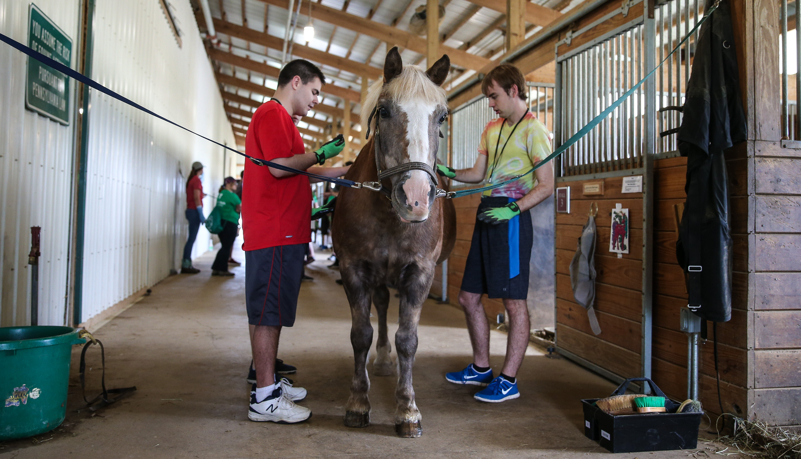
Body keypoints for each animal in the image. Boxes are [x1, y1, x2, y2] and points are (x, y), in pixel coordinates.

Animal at [332, 47, 456, 438]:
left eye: (441, 116)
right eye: (384, 110)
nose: (415, 198)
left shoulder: (420, 274)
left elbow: (408, 339)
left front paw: (407, 409)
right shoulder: (354, 270)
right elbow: (361, 334)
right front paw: (358, 402)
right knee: (383, 309)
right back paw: (384, 360)